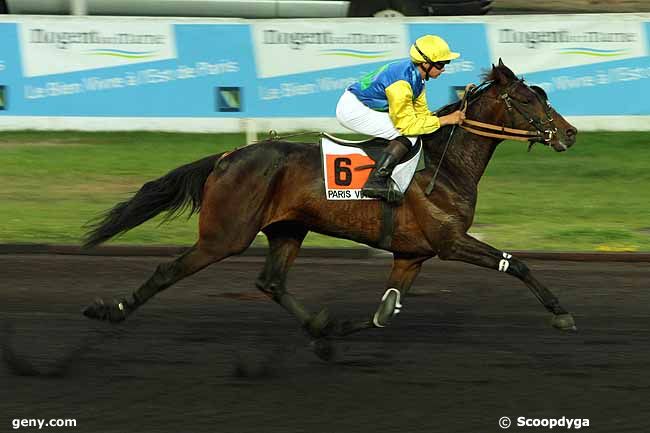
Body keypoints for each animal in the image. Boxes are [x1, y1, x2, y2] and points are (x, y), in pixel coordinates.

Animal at [82, 60, 576, 358]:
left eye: (543, 95)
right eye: (528, 100)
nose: (569, 134)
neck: (445, 164)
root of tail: (227, 157)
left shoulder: (411, 255)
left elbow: (384, 313)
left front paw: (333, 331)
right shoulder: (450, 241)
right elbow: (516, 265)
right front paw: (560, 312)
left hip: (287, 230)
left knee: (270, 282)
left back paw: (318, 327)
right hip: (225, 235)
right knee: (170, 270)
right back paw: (112, 310)